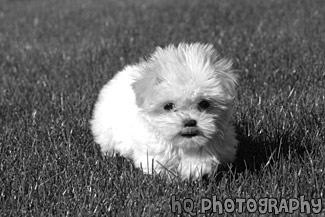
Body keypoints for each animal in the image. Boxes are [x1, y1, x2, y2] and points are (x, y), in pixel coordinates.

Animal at [90, 42, 237, 180]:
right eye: (168, 106)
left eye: (204, 103)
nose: (190, 122)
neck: (184, 144)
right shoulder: (152, 150)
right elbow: (161, 165)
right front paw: (172, 179)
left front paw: (195, 168)